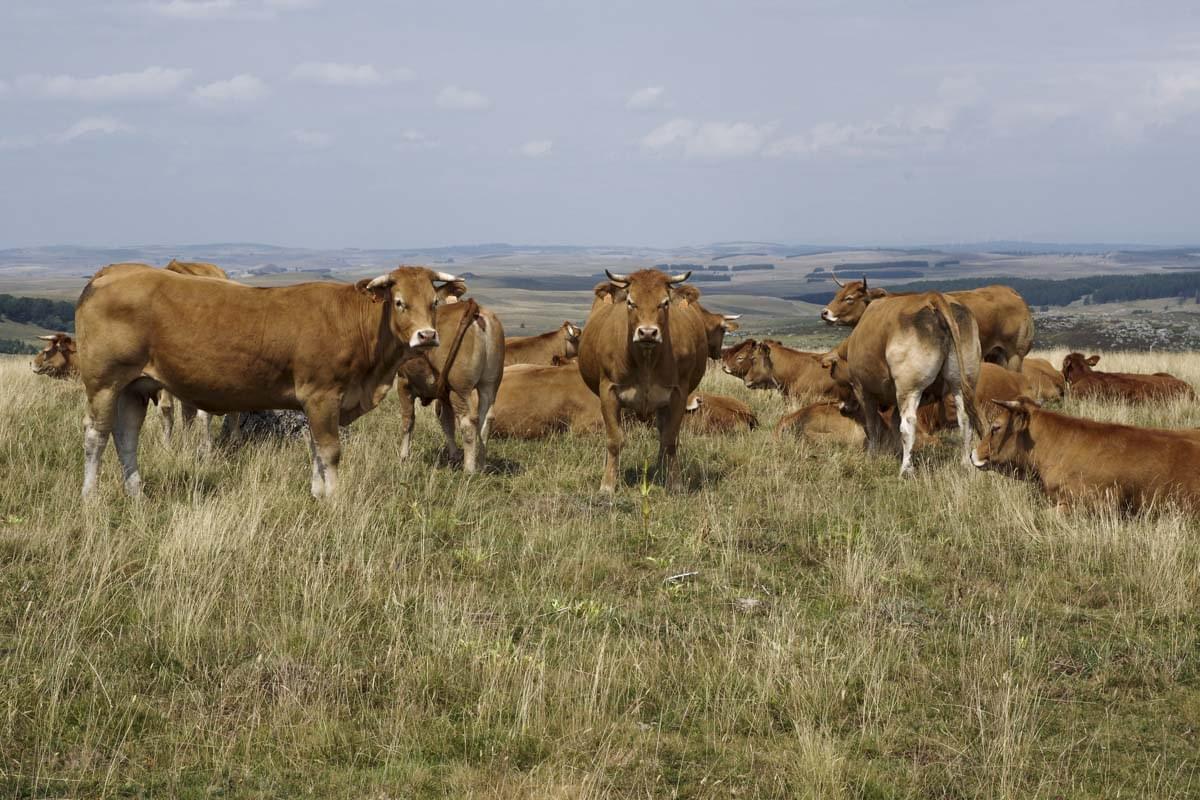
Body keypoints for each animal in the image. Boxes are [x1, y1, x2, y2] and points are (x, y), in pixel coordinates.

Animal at [74, 263, 461, 498]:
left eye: (433, 303)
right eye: (399, 302)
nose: (427, 336)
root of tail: (115, 271)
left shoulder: (318, 402)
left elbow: (315, 449)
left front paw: (318, 494)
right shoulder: (322, 395)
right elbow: (330, 451)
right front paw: (334, 498)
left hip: (134, 386)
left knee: (126, 436)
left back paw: (136, 493)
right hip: (104, 381)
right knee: (96, 436)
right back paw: (90, 496)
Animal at [394, 293, 505, 473]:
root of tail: (475, 309)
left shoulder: (404, 382)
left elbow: (408, 420)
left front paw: (403, 457)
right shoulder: (443, 395)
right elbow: (447, 424)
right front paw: (453, 456)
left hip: (460, 389)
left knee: (468, 422)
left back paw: (469, 469)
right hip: (489, 384)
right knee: (486, 419)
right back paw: (481, 465)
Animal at [578, 269, 709, 492]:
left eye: (664, 302)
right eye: (631, 302)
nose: (647, 332)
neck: (646, 360)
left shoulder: (678, 394)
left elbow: (670, 440)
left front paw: (675, 482)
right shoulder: (608, 392)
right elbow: (614, 440)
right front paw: (608, 484)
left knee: (663, 434)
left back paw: (661, 468)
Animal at [819, 292, 983, 474]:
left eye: (848, 298)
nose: (825, 312)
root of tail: (933, 296)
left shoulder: (862, 390)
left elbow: (872, 425)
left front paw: (872, 455)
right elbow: (894, 423)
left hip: (909, 387)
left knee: (908, 424)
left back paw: (906, 469)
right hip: (961, 381)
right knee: (965, 418)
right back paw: (965, 464)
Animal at [820, 276, 1034, 370]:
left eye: (849, 298)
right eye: (837, 294)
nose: (824, 312)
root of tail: (1012, 293)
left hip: (1015, 354)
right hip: (995, 354)